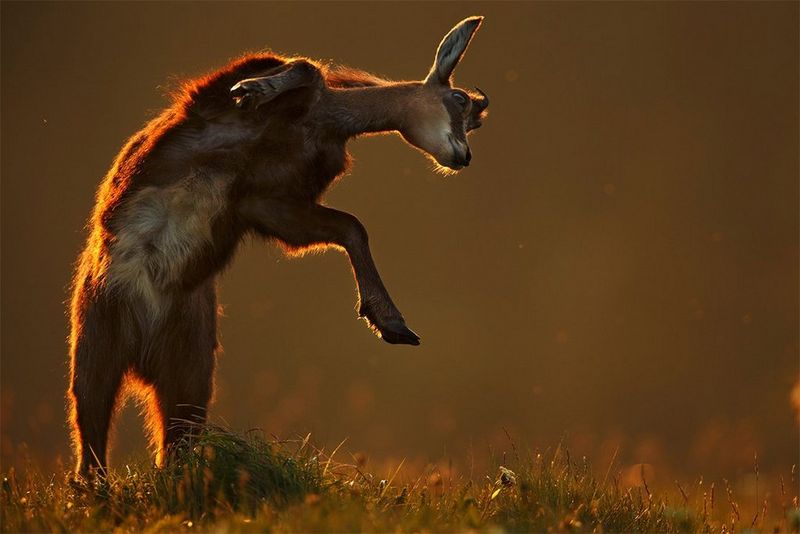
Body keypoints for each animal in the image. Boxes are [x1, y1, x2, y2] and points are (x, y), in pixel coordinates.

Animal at [68, 16, 489, 475]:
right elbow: (304, 66)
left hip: (189, 363)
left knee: (172, 438)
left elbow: (350, 226)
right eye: (459, 100)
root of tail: (141, 350)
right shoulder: (210, 99)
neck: (316, 121)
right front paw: (252, 90)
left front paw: (392, 324)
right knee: (89, 426)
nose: (464, 156)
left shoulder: (265, 201)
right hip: (97, 335)